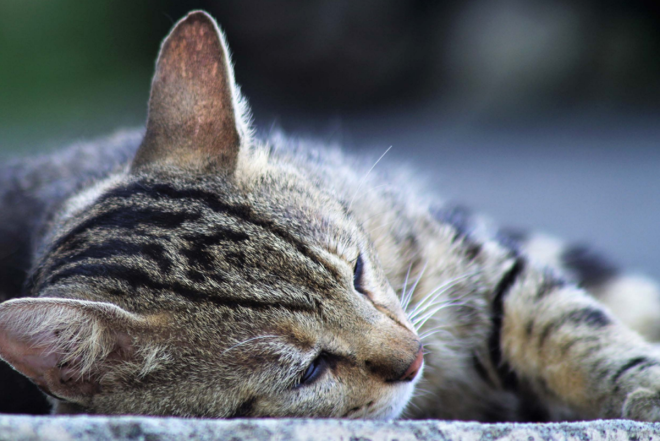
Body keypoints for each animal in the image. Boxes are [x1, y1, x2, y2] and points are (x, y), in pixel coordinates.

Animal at [1, 10, 660, 422]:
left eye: (360, 272)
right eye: (310, 371)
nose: (414, 357)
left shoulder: (482, 264)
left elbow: (579, 330)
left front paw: (645, 385)